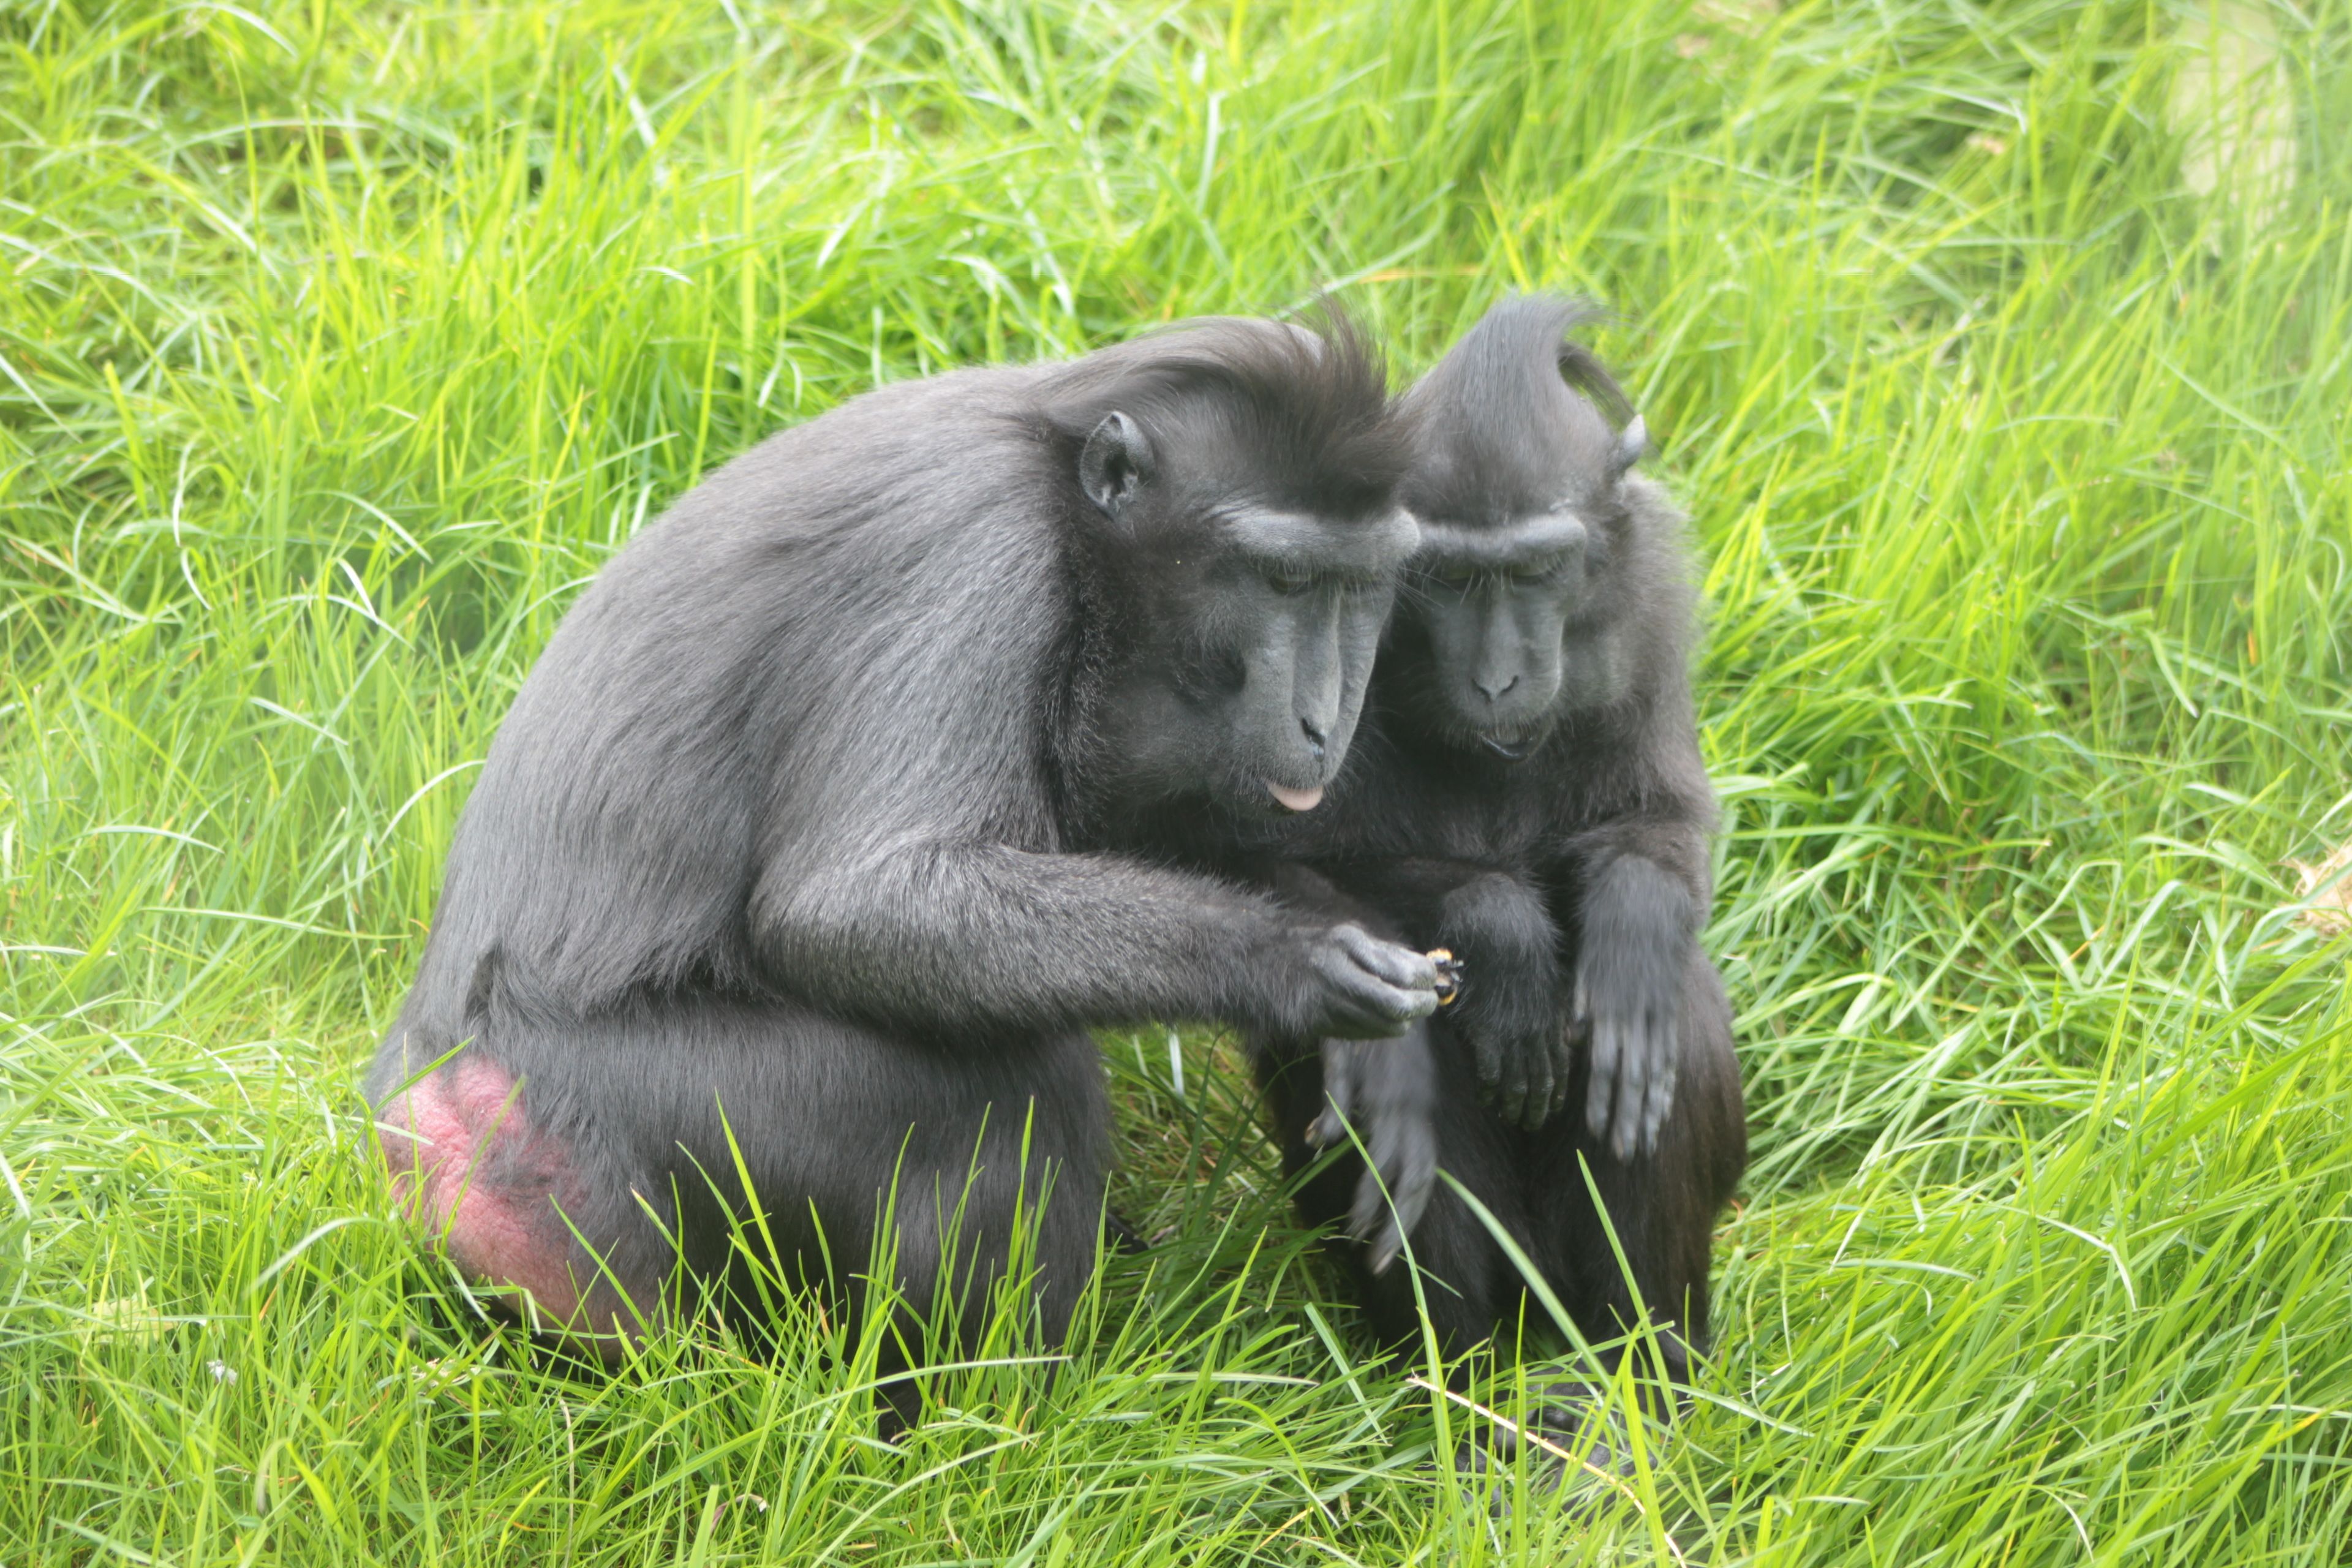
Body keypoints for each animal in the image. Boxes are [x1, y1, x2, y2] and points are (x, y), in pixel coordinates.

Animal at [366, 314, 1445, 1422]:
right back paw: (980, 1426)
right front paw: (1290, 960)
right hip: (630, 1116)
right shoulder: (981, 552)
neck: (1066, 493)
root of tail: (431, 1102)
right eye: (1285, 582)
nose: (1326, 720)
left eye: (1362, 587)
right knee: (1010, 1093)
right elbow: (855, 904)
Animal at [1221, 297, 1746, 1405]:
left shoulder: (1649, 604)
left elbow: (1663, 830)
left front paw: (1630, 930)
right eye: (1451, 577)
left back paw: (1642, 1375)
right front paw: (1502, 931)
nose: (1500, 680)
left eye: (1537, 568)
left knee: (1665, 1014)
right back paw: (1456, 1386)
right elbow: (1264, 866)